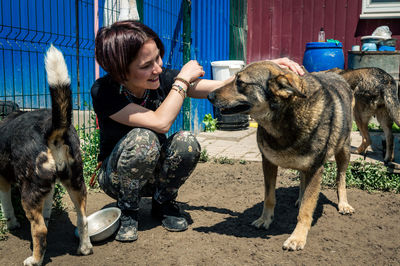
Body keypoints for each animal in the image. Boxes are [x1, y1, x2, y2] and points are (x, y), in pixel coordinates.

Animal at [0, 46, 92, 266]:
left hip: (28, 190)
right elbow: (47, 207)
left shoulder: (2, 179)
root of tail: (52, 131)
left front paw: (11, 224)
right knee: (83, 218)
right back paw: (84, 248)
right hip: (75, 181)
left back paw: (35, 260)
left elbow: (6, 205)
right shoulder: (48, 187)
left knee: (40, 230)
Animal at [208, 60, 354, 251]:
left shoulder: (315, 169)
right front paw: (265, 220)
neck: (286, 117)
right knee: (302, 180)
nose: (209, 95)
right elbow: (269, 197)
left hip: (344, 151)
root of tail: (336, 73)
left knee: (341, 178)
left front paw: (297, 237)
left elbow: (307, 209)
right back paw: (300, 198)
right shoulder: (268, 163)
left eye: (240, 82)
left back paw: (343, 204)